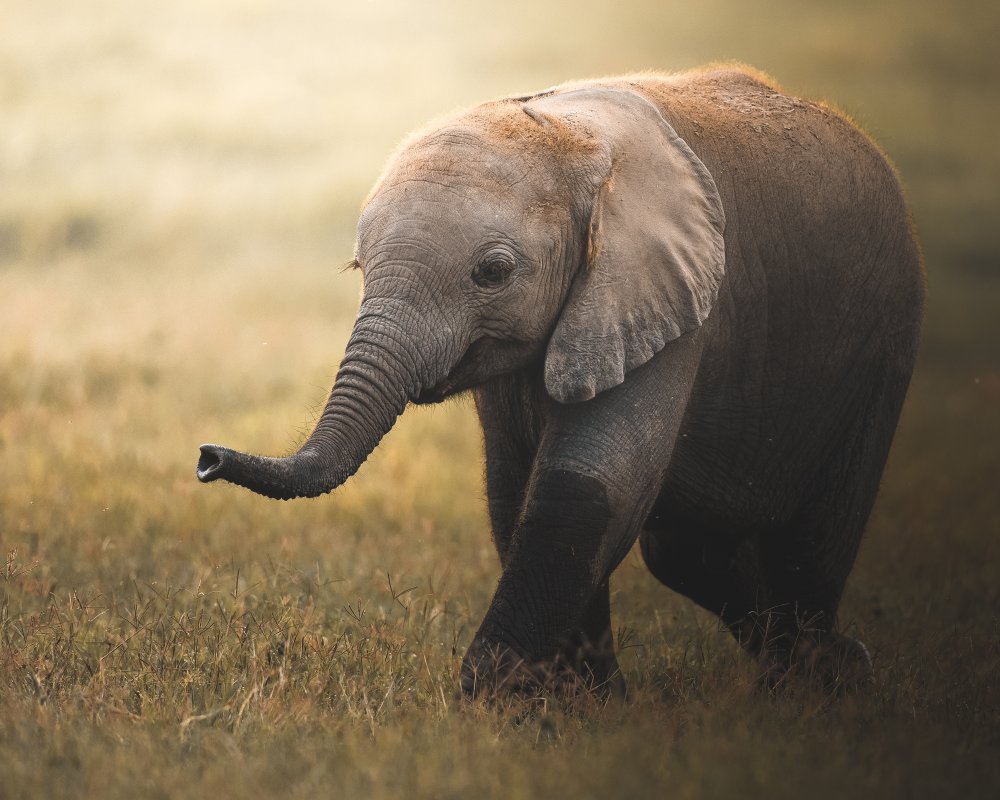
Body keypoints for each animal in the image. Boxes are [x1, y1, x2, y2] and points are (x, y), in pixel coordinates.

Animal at [197, 67, 924, 697]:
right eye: (357, 268)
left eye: (492, 273)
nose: (206, 458)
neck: (568, 137)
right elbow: (515, 490)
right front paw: (580, 706)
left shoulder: (671, 298)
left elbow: (593, 482)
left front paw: (493, 706)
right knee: (684, 551)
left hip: (881, 341)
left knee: (812, 538)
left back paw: (821, 681)